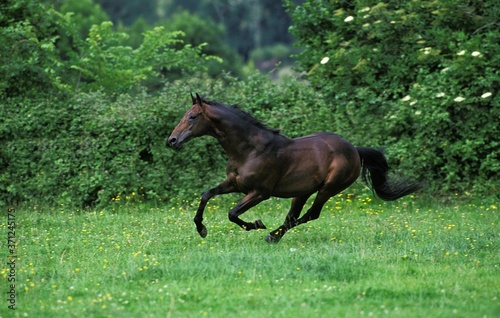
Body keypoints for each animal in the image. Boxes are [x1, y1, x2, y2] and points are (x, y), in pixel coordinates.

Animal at [166, 93, 420, 242]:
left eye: (192, 117)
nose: (172, 141)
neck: (249, 149)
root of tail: (355, 150)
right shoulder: (234, 184)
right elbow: (206, 195)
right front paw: (201, 229)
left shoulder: (260, 193)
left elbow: (232, 213)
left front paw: (255, 224)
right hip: (303, 191)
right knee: (294, 216)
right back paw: (275, 236)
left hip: (328, 189)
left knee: (311, 214)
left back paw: (271, 235)